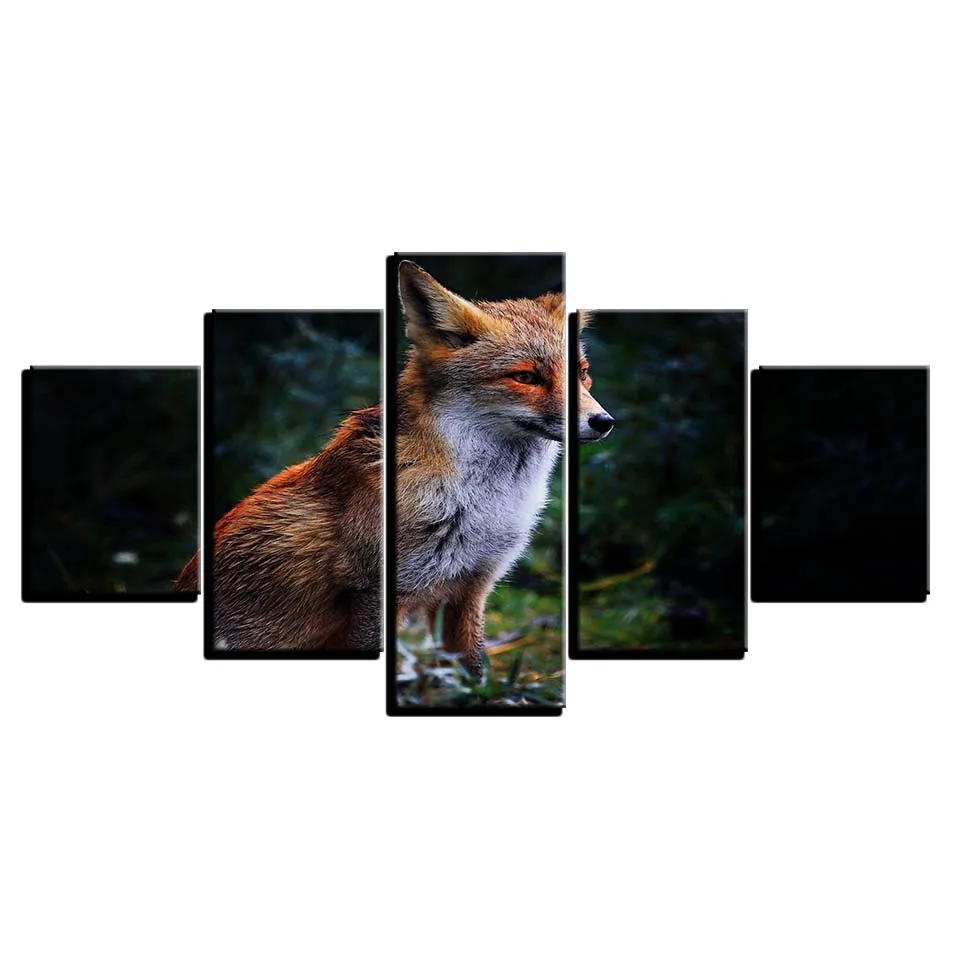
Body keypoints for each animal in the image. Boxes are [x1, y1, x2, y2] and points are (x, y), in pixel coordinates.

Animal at [175, 263, 614, 663]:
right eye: (525, 377)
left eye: (582, 373)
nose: (603, 422)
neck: (482, 503)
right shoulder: (375, 592)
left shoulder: (469, 589)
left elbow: (474, 675)